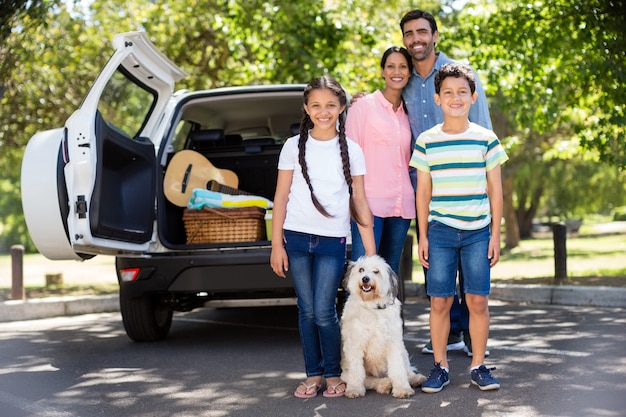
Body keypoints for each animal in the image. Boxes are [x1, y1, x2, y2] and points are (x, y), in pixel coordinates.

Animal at [338, 254, 426, 396]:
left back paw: (415, 379)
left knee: (406, 369)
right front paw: (354, 389)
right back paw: (384, 384)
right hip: (344, 374)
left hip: (403, 351)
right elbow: (356, 372)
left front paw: (402, 388)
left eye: (376, 271)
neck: (373, 306)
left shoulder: (394, 344)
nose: (365, 278)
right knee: (368, 380)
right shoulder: (355, 345)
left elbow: (398, 369)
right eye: (361, 270)